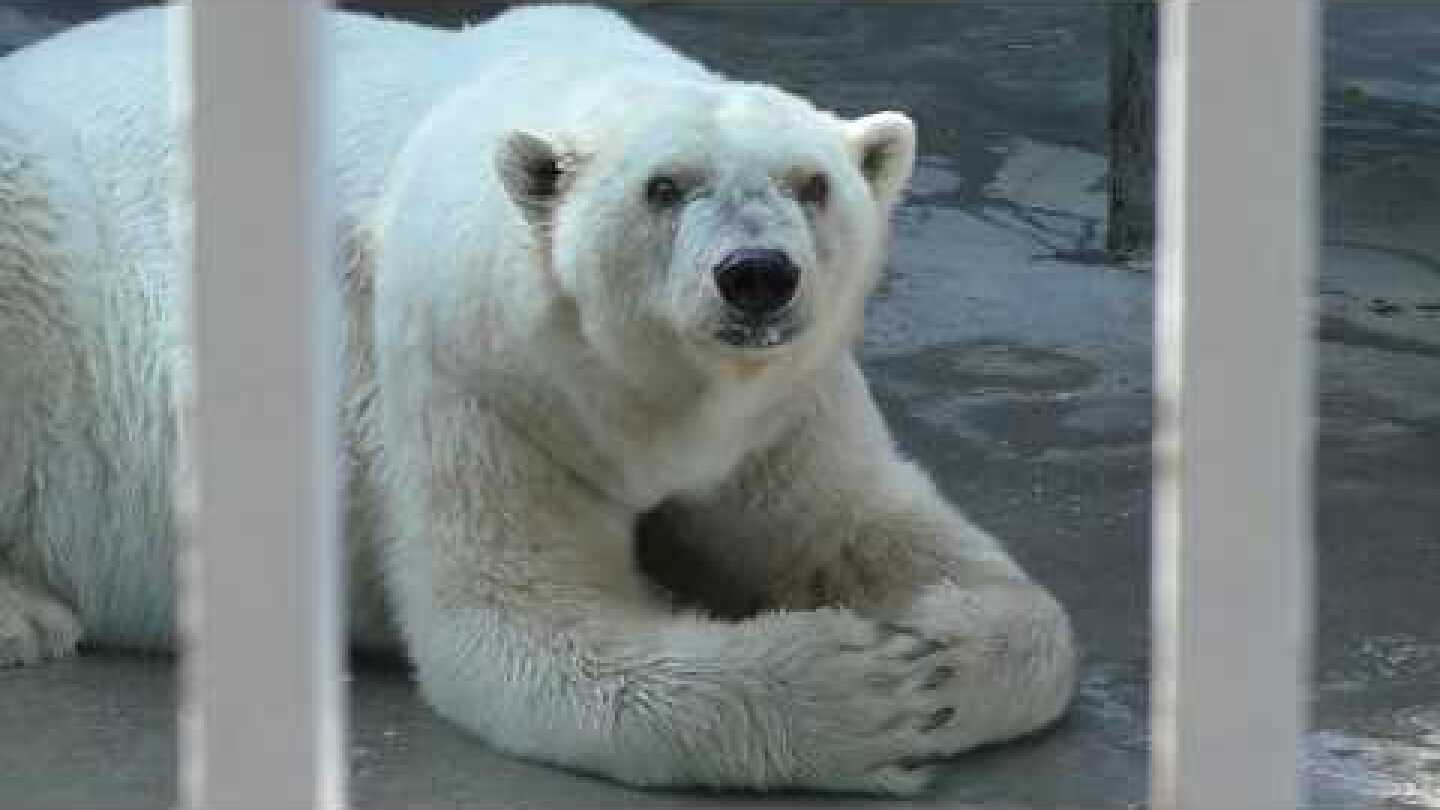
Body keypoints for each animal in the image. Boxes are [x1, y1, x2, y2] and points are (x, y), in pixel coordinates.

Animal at [0, 4, 1076, 795]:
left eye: (811, 183)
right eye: (664, 187)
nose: (758, 277)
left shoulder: (781, 405)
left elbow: (865, 528)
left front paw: (942, 654)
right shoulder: (474, 371)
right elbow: (521, 627)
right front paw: (866, 692)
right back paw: (25, 616)